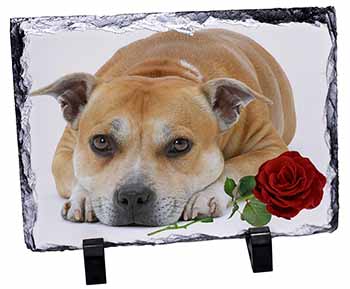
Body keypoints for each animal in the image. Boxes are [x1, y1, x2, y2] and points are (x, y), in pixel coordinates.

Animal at [32, 29, 296, 227]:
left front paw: (206, 195)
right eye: (101, 142)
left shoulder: (271, 149)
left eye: (179, 145)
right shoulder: (64, 151)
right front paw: (84, 197)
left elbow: (234, 166)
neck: (160, 71)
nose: (132, 196)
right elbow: (76, 172)